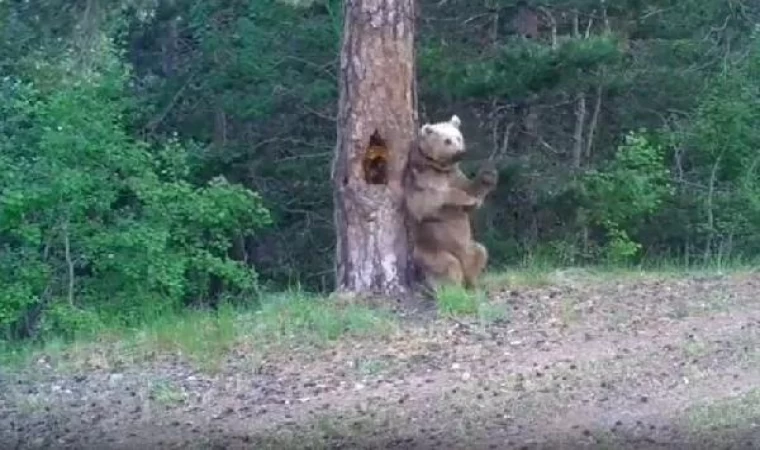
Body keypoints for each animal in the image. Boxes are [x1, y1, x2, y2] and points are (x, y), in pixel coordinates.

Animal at [404, 114, 498, 290]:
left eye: (459, 137)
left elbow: (471, 192)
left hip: (469, 248)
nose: (461, 152)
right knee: (449, 266)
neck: (441, 168)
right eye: (447, 141)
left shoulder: (456, 175)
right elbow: (431, 202)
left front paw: (488, 175)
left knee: (480, 252)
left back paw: (474, 284)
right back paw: (452, 288)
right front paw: (465, 199)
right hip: (431, 251)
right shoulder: (422, 180)